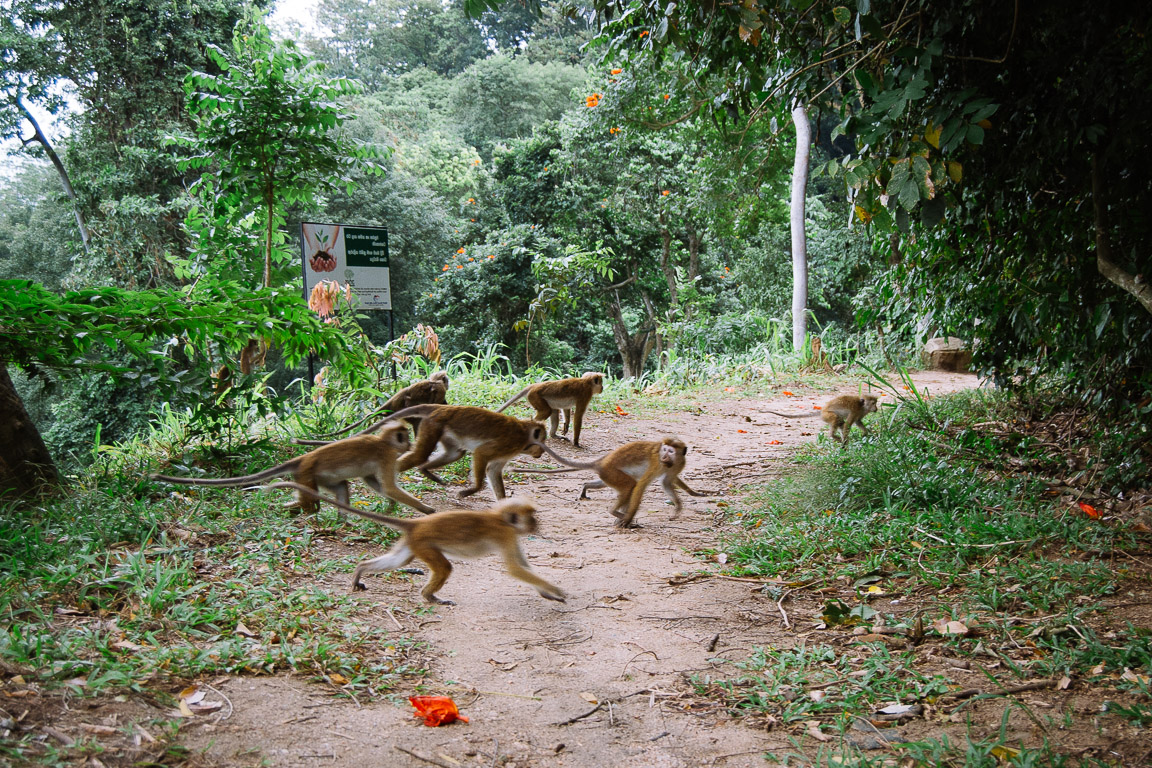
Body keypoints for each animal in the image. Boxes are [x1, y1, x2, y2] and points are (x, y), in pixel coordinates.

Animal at [150, 423, 433, 520]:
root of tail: (301, 459)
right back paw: (296, 511)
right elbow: (389, 486)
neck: (385, 442)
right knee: (312, 505)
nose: (409, 444)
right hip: (307, 473)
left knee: (340, 487)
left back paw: (340, 520)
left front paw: (390, 508)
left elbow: (377, 484)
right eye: (405, 437)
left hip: (313, 475)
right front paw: (425, 509)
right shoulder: (387, 456)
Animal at [261, 481, 566, 607]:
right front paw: (555, 590)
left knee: (399, 561)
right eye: (531, 516)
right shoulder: (505, 534)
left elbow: (522, 567)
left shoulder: (511, 536)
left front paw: (546, 592)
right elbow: (515, 570)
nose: (536, 524)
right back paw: (429, 597)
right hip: (425, 543)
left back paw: (360, 571)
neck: (502, 519)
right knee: (444, 568)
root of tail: (416, 524)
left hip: (413, 543)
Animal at [352, 405, 585, 502]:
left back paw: (426, 470)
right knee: (420, 456)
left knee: (455, 454)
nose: (541, 452)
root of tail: (441, 408)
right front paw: (472, 490)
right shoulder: (509, 443)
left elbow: (494, 470)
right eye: (542, 441)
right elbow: (481, 454)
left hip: (444, 431)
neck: (524, 435)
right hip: (433, 425)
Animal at [518, 437, 705, 529]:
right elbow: (641, 486)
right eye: (664, 450)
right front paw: (628, 517)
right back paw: (618, 514)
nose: (665, 456)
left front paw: (687, 498)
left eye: (671, 451)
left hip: (607, 475)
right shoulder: (656, 463)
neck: (670, 462)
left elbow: (667, 481)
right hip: (611, 472)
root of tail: (601, 462)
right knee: (631, 486)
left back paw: (588, 488)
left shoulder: (678, 463)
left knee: (620, 486)